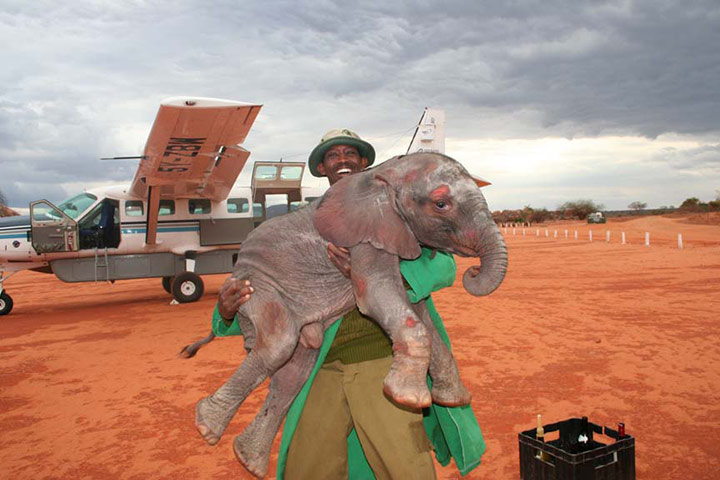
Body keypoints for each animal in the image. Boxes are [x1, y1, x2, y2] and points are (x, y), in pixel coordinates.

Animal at [194, 152, 508, 477]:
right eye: (441, 204)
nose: (472, 272)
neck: (388, 173)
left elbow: (419, 312)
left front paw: (452, 398)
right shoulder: (366, 236)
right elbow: (376, 293)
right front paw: (407, 398)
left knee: (292, 375)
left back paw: (248, 460)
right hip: (257, 284)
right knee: (278, 344)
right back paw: (207, 426)